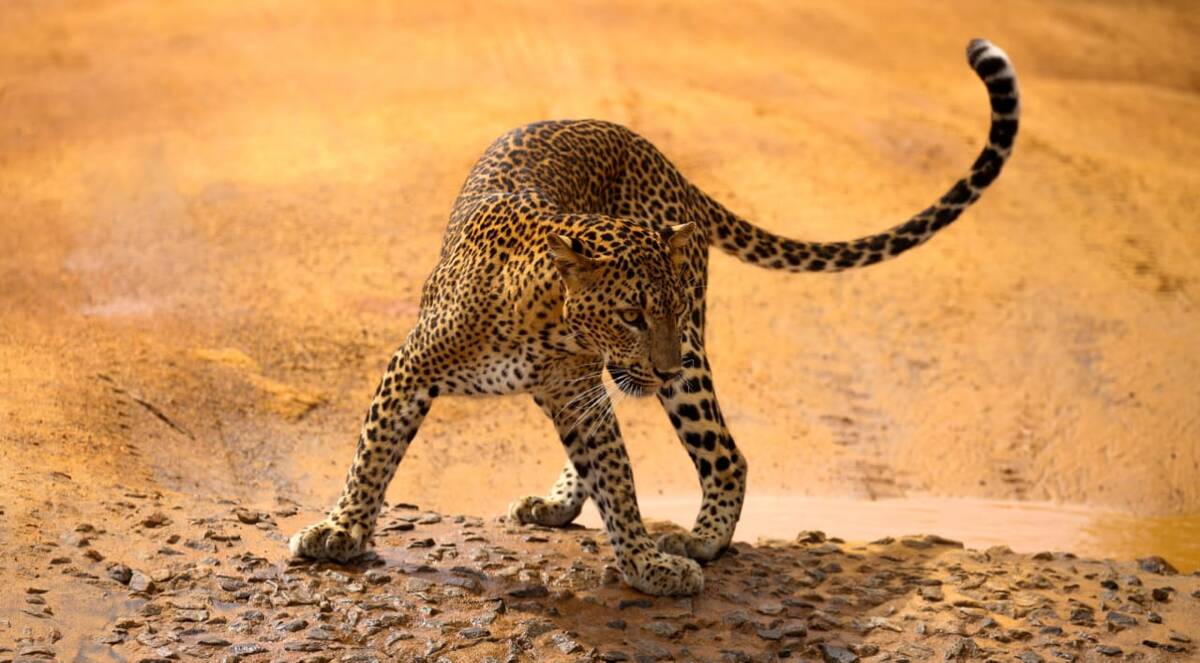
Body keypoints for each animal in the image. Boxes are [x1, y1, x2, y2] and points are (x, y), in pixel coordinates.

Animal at [290, 39, 1020, 596]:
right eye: (632, 314)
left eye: (659, 311)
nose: (662, 360)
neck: (548, 323)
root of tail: (663, 159)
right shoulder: (417, 366)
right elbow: (373, 452)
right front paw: (342, 530)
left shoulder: (580, 387)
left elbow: (618, 478)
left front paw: (646, 562)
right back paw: (560, 503)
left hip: (687, 370)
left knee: (727, 455)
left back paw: (703, 540)